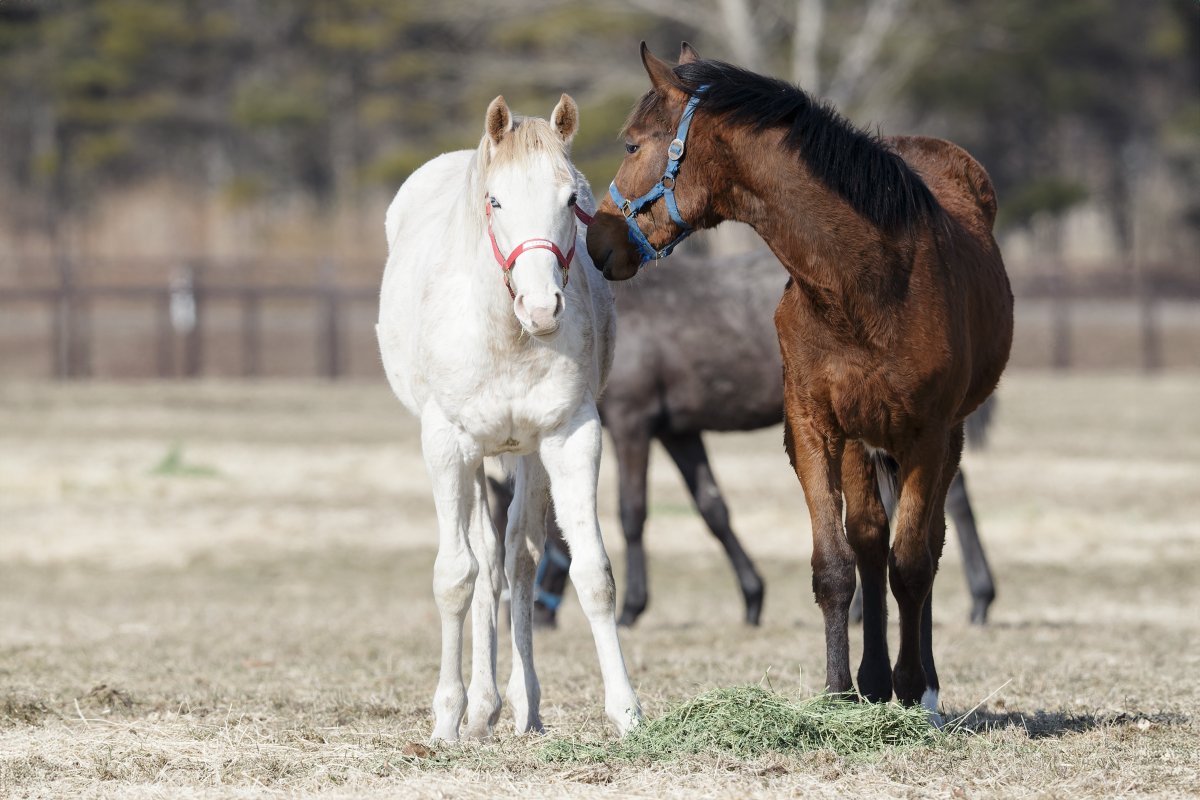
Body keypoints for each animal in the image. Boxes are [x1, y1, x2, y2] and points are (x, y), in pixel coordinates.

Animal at [376, 95, 643, 743]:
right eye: (495, 201)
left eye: (570, 200)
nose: (542, 308)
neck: (506, 334)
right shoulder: (447, 446)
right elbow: (456, 577)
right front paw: (447, 719)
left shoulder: (570, 437)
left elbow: (593, 574)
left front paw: (626, 711)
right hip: (473, 459)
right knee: (485, 564)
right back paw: (480, 708)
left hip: (526, 455)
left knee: (516, 562)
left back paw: (522, 706)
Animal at [487, 248, 993, 623]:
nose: (518, 609)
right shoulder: (680, 432)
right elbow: (713, 508)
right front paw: (752, 596)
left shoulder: (634, 424)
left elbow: (632, 513)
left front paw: (632, 607)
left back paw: (977, 598)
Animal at [590, 43, 1012, 719]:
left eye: (632, 144)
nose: (597, 238)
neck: (864, 283)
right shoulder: (813, 427)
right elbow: (835, 562)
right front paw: (840, 691)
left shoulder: (927, 435)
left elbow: (913, 563)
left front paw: (913, 689)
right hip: (866, 442)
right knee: (871, 540)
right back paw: (874, 676)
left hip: (940, 438)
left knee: (931, 540)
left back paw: (926, 675)